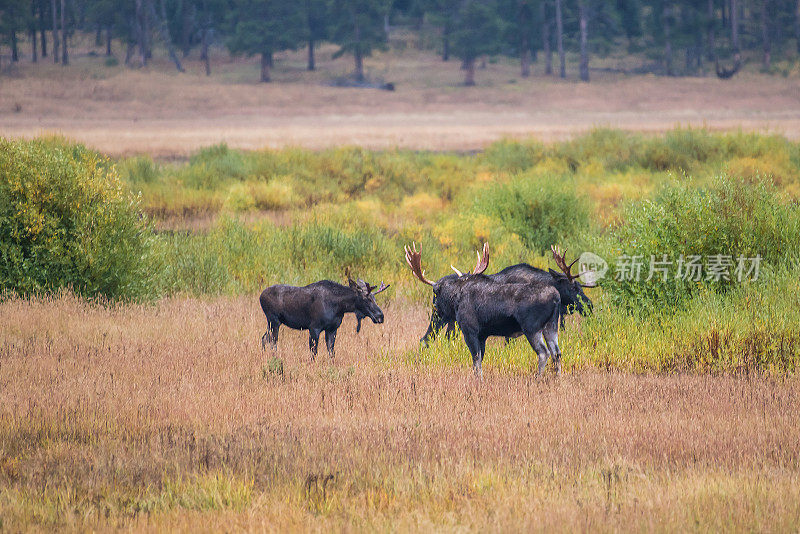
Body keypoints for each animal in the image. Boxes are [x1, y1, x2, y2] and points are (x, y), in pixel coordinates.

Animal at [260, 278, 390, 362]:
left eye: (374, 298)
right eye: (366, 299)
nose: (380, 316)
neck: (340, 307)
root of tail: (260, 296)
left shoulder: (332, 329)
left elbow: (331, 352)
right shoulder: (314, 327)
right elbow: (313, 352)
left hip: (272, 323)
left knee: (264, 338)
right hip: (274, 321)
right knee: (273, 341)